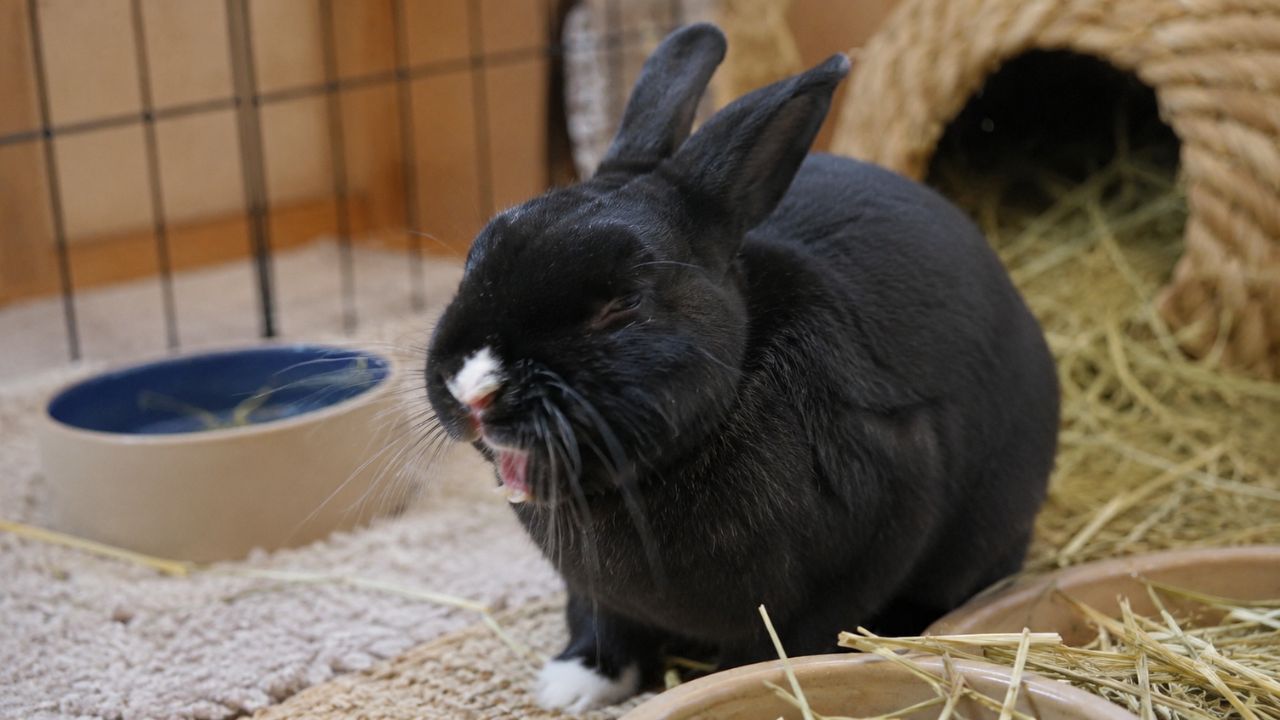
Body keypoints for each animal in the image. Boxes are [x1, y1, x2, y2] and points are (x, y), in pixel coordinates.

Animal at [424, 22, 1059, 714]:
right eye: (477, 255)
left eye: (624, 304)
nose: (473, 387)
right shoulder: (591, 591)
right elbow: (599, 620)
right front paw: (572, 686)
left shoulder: (875, 527)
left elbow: (787, 639)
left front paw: (734, 685)